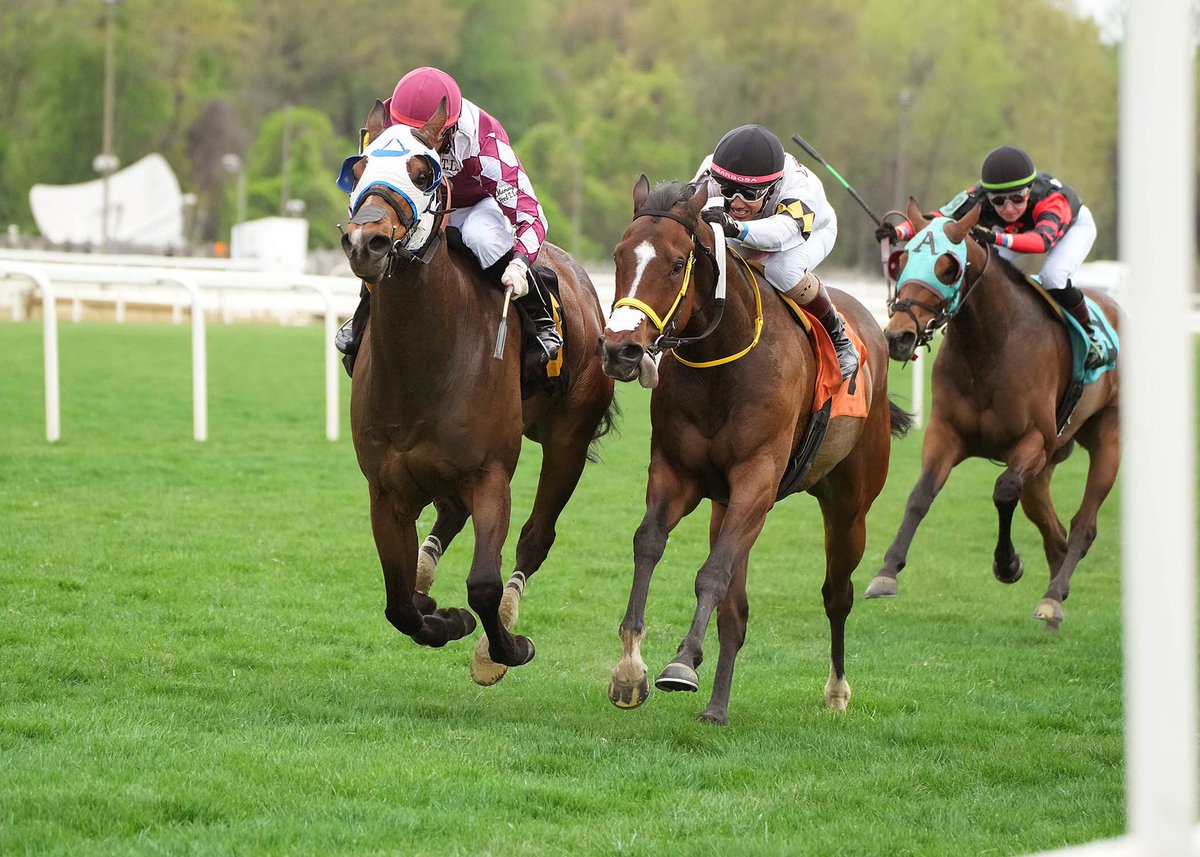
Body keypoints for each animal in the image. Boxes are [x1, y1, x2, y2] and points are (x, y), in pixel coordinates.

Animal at [340, 98, 614, 681]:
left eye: (423, 173)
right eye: (359, 167)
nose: (366, 241)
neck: (423, 363)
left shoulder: (490, 475)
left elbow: (484, 585)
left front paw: (504, 647)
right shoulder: (387, 488)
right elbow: (398, 603)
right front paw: (440, 617)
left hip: (567, 441)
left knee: (535, 538)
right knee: (447, 517)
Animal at [600, 176, 907, 724]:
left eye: (676, 264)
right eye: (618, 256)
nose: (621, 350)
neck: (722, 362)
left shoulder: (757, 480)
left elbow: (712, 574)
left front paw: (681, 663)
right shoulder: (676, 475)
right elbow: (649, 545)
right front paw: (629, 671)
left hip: (849, 506)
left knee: (837, 595)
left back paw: (836, 689)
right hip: (727, 507)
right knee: (736, 614)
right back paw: (717, 708)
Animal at [868, 200, 1118, 628]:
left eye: (948, 267)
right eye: (902, 261)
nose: (899, 336)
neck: (990, 347)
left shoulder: (1034, 439)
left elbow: (1003, 490)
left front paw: (1008, 564)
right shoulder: (945, 432)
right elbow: (920, 495)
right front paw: (886, 573)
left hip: (1106, 438)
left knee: (1083, 526)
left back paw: (1053, 596)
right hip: (1045, 469)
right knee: (1053, 531)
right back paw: (1056, 599)